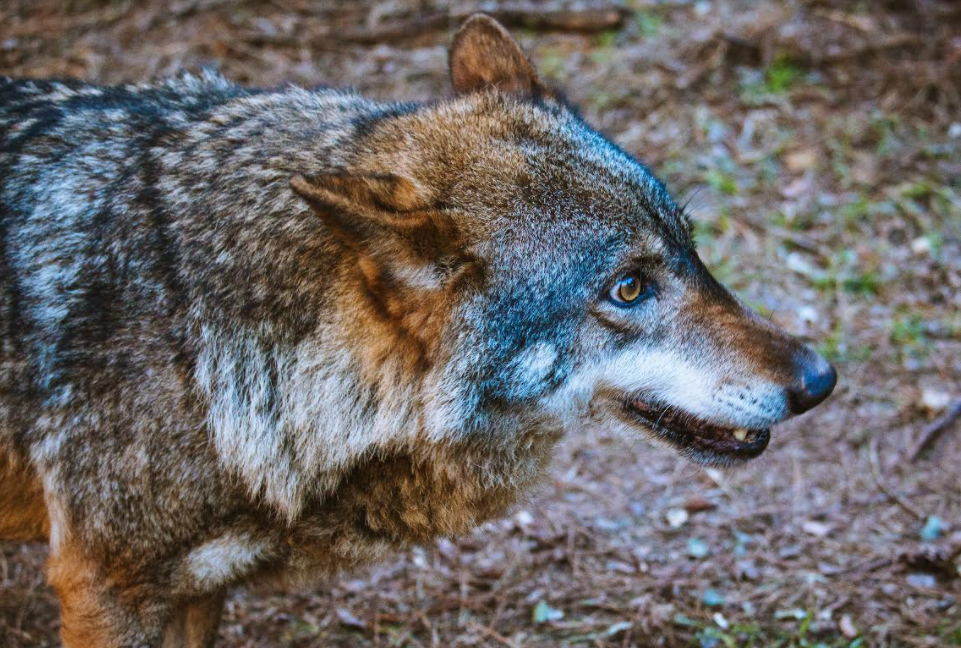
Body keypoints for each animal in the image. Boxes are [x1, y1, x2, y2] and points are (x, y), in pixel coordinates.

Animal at [0, 15, 836, 648]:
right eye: (628, 288)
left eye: (689, 251)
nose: (819, 380)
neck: (198, 345)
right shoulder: (108, 590)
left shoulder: (199, 586)